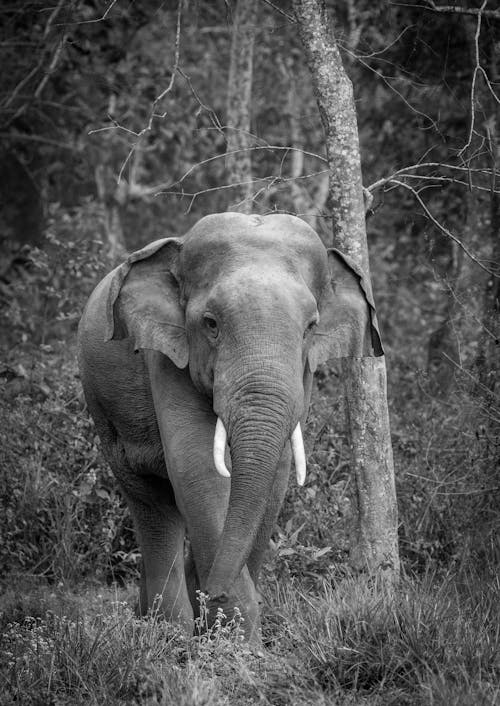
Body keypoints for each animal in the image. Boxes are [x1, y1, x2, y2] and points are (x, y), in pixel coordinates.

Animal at [79, 209, 382, 640]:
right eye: (210, 324)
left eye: (311, 327)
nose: (214, 592)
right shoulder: (167, 356)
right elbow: (199, 468)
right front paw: (236, 643)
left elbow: (275, 477)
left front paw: (227, 634)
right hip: (106, 416)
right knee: (152, 503)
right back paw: (169, 632)